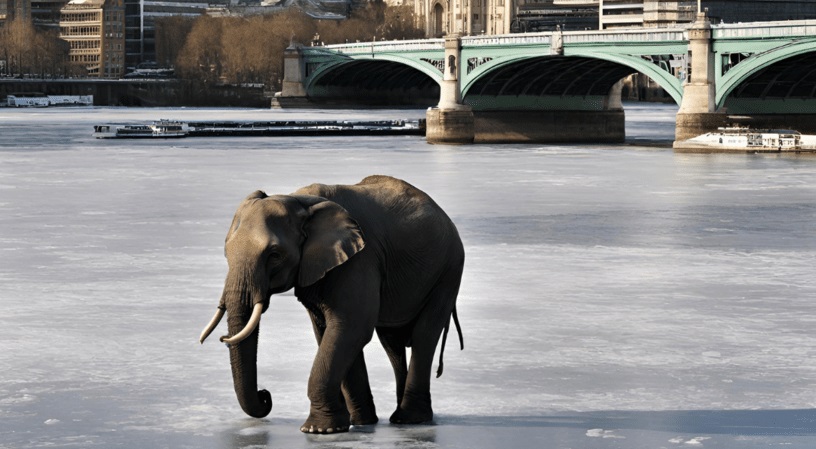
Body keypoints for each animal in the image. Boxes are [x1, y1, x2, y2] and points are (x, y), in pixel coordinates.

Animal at [198, 175, 466, 434]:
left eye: (274, 255)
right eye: (226, 253)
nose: (266, 395)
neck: (298, 200)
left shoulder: (359, 259)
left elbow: (352, 327)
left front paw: (317, 430)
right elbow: (329, 331)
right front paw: (357, 423)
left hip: (449, 271)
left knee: (424, 335)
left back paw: (410, 420)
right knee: (392, 342)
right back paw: (395, 419)